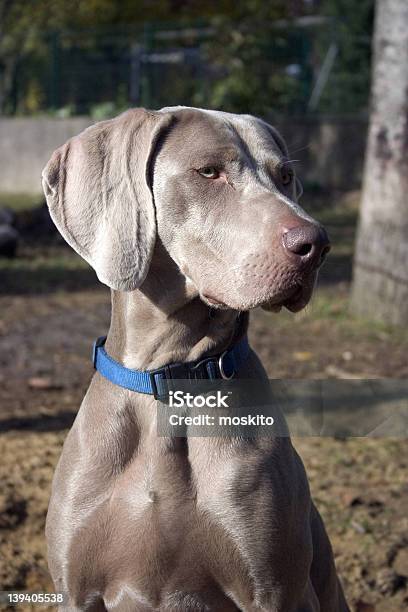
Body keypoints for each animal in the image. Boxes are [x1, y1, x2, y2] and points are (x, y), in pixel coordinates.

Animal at [42, 109, 350, 612]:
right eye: (209, 172)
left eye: (285, 177)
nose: (318, 244)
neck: (170, 378)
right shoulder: (75, 591)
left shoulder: (277, 590)